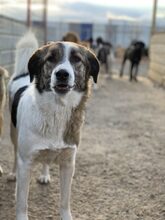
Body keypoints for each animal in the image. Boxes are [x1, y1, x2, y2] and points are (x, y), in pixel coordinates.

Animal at [7, 32, 99, 220]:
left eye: (76, 59)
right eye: (51, 58)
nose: (62, 74)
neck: (57, 110)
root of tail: (23, 74)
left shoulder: (68, 164)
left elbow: (65, 201)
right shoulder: (25, 162)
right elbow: (22, 202)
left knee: (46, 159)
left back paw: (44, 174)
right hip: (13, 135)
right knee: (14, 154)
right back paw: (13, 173)